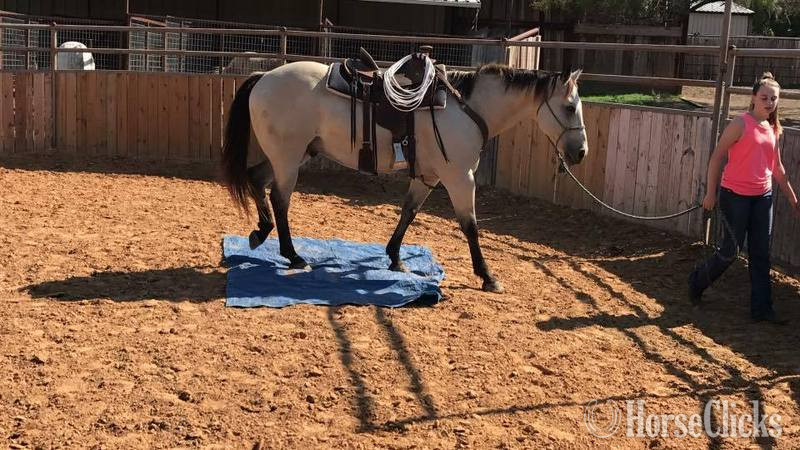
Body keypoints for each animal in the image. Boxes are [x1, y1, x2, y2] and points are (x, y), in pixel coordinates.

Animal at [220, 61, 588, 293]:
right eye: (570, 107)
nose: (580, 152)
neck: (466, 107)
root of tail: (264, 76)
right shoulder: (459, 177)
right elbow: (470, 226)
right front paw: (487, 276)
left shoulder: (428, 177)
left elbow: (408, 213)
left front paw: (396, 259)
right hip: (288, 159)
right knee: (280, 201)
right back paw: (293, 255)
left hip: (292, 156)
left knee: (257, 180)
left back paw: (260, 233)